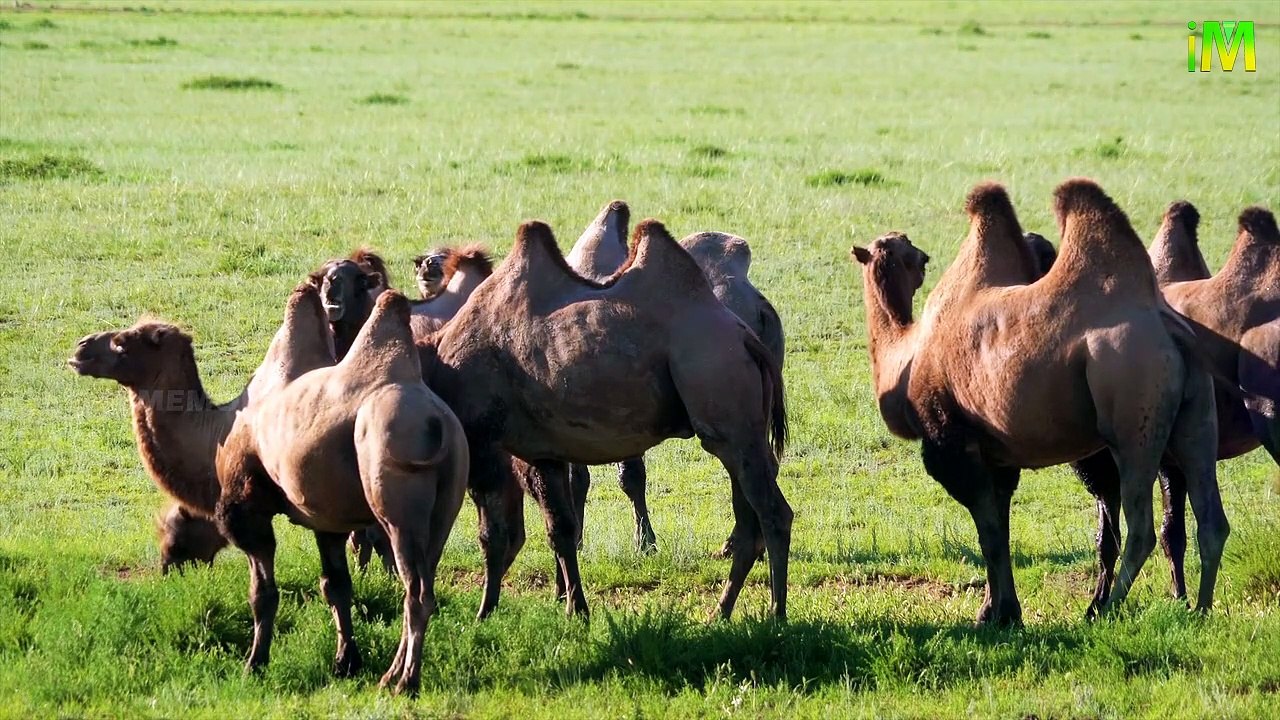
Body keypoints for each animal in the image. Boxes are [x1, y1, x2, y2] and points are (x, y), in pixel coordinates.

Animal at [215, 285, 467, 695]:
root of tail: (437, 422)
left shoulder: (248, 504)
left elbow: (263, 591)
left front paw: (254, 663)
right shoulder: (326, 519)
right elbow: (336, 585)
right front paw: (346, 661)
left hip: (398, 508)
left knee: (417, 591)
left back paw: (405, 681)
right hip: (447, 504)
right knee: (423, 579)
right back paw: (391, 674)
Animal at [850, 179, 1229, 625]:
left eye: (910, 252)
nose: (918, 254)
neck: (905, 356)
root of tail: (1168, 330)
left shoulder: (951, 443)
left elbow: (988, 531)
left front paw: (997, 615)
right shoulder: (997, 452)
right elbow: (999, 526)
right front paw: (998, 611)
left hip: (1132, 411)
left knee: (1142, 526)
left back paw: (1106, 609)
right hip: (1197, 412)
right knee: (1211, 516)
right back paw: (1201, 609)